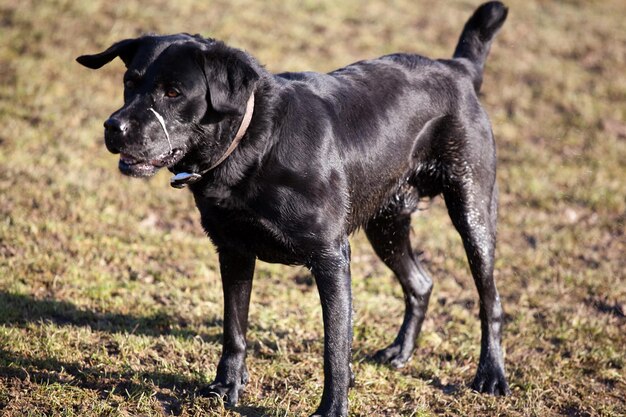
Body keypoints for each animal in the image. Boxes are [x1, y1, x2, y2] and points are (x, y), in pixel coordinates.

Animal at [77, 1, 508, 414]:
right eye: (129, 82)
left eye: (173, 93)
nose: (113, 128)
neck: (253, 141)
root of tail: (458, 68)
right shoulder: (233, 250)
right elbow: (234, 328)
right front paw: (226, 388)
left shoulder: (331, 258)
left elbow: (335, 346)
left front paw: (332, 407)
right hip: (385, 222)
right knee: (420, 283)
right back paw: (400, 351)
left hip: (472, 211)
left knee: (490, 300)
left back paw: (491, 375)